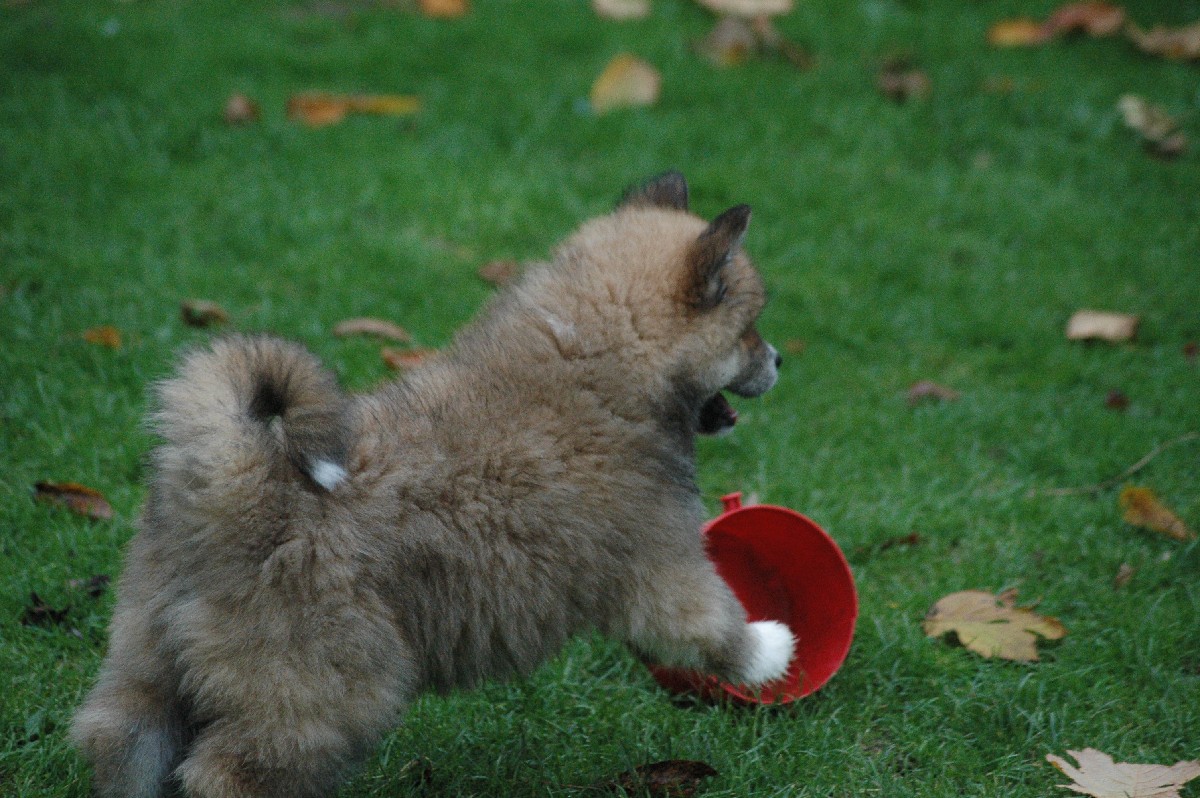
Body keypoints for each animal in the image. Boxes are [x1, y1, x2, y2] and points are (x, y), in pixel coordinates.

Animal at [71, 172, 793, 798]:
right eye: (749, 329)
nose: (781, 360)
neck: (607, 357)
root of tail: (238, 489)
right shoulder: (665, 567)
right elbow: (717, 624)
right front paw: (772, 650)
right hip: (326, 691)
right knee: (232, 773)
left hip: (145, 656)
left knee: (119, 738)